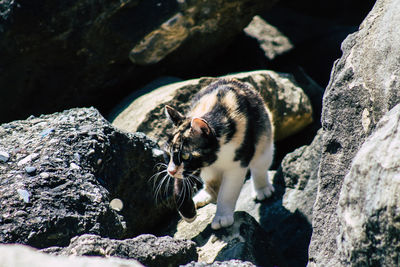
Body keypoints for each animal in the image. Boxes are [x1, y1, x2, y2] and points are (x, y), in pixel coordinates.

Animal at [164, 78, 274, 230]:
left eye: (186, 156)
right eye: (168, 154)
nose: (170, 171)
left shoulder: (237, 165)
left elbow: (226, 193)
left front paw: (222, 218)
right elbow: (180, 183)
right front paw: (188, 212)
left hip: (264, 138)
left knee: (260, 167)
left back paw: (262, 190)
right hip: (208, 171)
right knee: (212, 183)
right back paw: (203, 196)